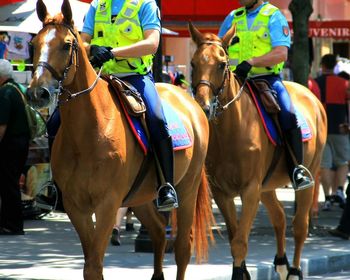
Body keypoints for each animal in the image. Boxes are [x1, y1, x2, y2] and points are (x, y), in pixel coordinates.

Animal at [26, 1, 213, 278]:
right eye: (34, 44)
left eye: (67, 45)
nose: (37, 93)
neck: (90, 131)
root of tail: (191, 101)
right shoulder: (76, 206)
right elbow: (91, 265)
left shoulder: (107, 203)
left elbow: (94, 264)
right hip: (142, 197)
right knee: (158, 233)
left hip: (187, 189)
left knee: (182, 248)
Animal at [189, 22, 328, 280]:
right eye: (193, 63)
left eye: (222, 64)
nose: (203, 107)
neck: (232, 129)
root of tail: (311, 96)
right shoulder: (222, 193)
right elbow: (234, 238)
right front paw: (243, 272)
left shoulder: (250, 190)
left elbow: (240, 243)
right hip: (268, 186)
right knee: (280, 217)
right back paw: (282, 264)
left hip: (307, 178)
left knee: (299, 226)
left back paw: (294, 270)